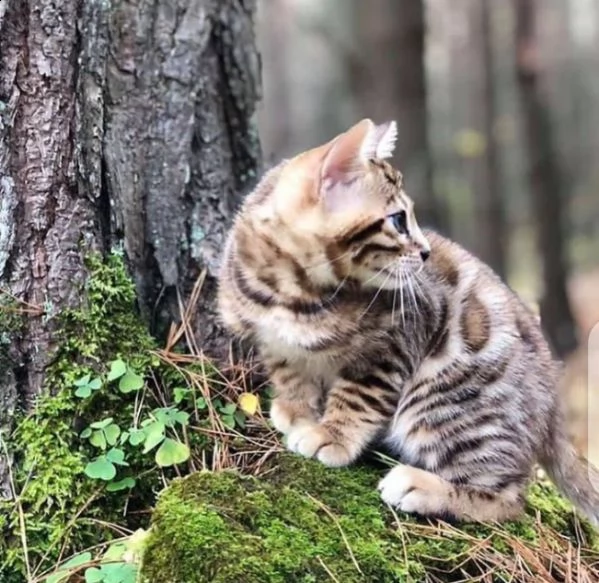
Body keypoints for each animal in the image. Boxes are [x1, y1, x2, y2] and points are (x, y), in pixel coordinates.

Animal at [217, 118, 599, 524]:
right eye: (398, 220)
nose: (426, 252)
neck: (291, 293)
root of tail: (553, 411)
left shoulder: (394, 344)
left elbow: (359, 396)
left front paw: (332, 435)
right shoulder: (271, 339)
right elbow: (288, 370)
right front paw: (295, 408)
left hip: (446, 400)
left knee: (509, 499)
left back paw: (422, 486)